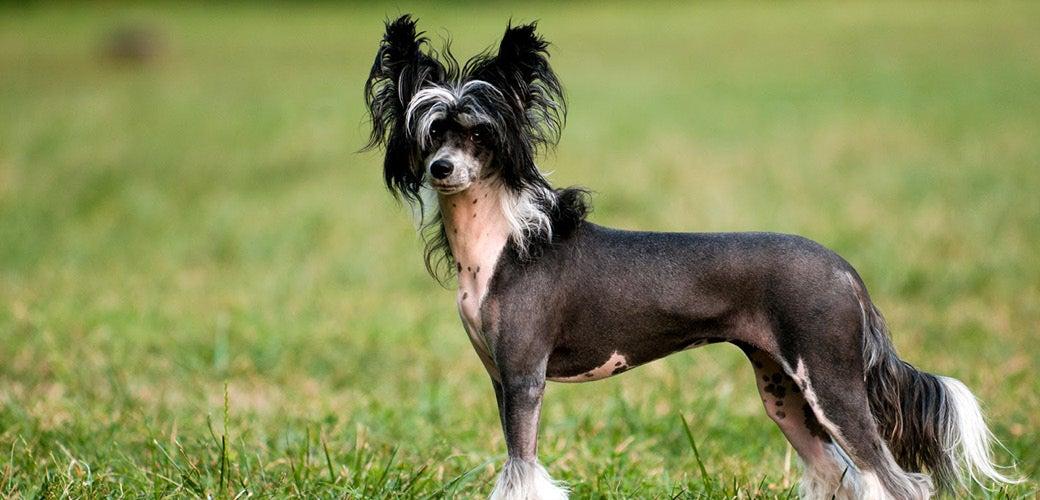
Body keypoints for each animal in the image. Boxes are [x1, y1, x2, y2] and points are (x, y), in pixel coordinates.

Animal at [362, 15, 1018, 499]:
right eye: (430, 133)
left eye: (479, 134)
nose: (442, 168)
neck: (502, 244)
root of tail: (845, 270)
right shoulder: (502, 380)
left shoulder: (525, 380)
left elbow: (522, 474)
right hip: (783, 392)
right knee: (838, 475)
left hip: (832, 383)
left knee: (896, 482)